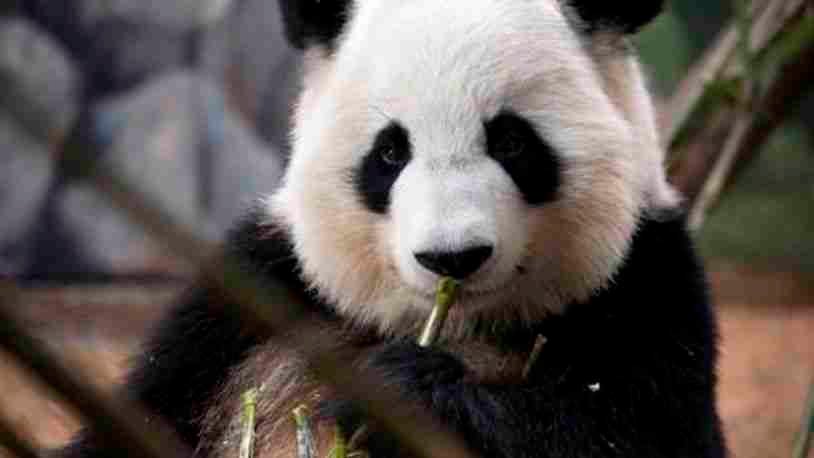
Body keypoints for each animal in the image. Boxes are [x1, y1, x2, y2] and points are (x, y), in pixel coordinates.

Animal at [62, 0, 728, 456]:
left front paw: (403, 395)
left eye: (512, 141)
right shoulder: (248, 301)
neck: (450, 325)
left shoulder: (646, 289)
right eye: (389, 153)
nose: (453, 258)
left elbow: (631, 436)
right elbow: (139, 419)